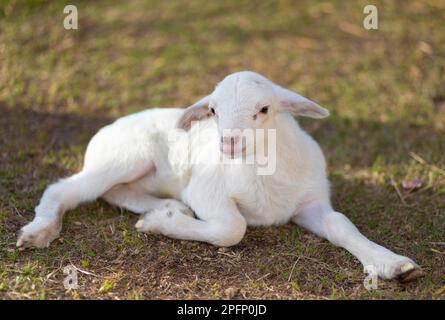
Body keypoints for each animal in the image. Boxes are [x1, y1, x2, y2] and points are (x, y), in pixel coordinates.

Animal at [16, 71, 424, 282]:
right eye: (212, 110)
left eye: (264, 109)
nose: (228, 141)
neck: (262, 170)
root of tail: (108, 128)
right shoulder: (205, 191)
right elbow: (232, 228)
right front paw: (162, 226)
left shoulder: (310, 202)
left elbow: (341, 224)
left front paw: (392, 264)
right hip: (123, 157)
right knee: (65, 190)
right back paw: (40, 231)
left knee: (116, 193)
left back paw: (165, 208)